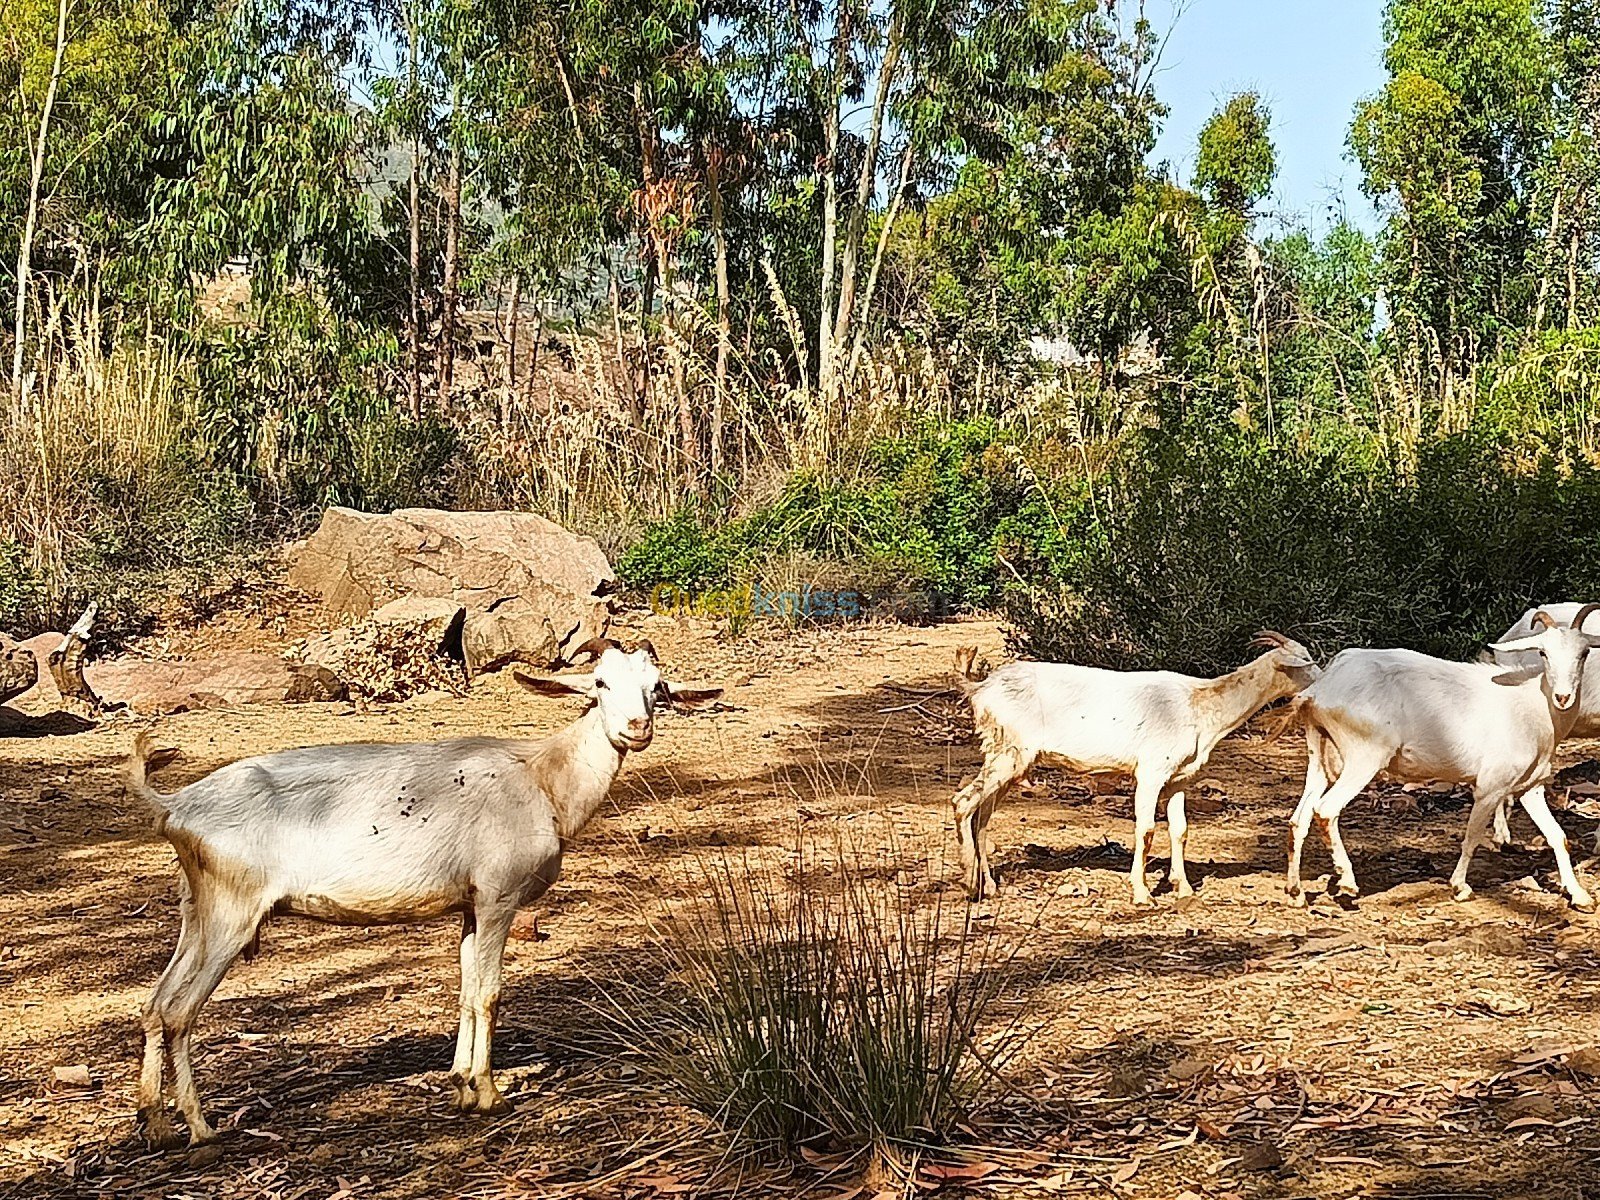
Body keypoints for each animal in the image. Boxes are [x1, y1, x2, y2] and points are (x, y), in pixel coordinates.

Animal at [123, 643, 720, 1152]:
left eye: (658, 687)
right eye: (600, 682)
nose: (637, 728)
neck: (542, 780)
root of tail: (175, 804)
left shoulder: (471, 907)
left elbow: (465, 991)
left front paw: (460, 1084)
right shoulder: (499, 898)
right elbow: (490, 994)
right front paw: (490, 1094)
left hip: (197, 911)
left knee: (154, 1002)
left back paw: (155, 1124)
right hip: (232, 914)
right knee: (178, 1011)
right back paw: (200, 1128)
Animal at [953, 640, 1318, 902]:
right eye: (1307, 662)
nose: (1322, 683)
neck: (1201, 704)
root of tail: (980, 688)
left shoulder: (1179, 778)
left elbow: (1180, 830)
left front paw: (1183, 888)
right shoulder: (1152, 771)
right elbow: (1146, 830)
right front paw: (1143, 893)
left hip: (1008, 759)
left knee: (982, 817)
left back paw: (989, 886)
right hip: (1008, 752)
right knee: (963, 802)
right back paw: (971, 885)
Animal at [1286, 611, 1600, 908]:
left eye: (1584, 653)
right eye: (1543, 653)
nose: (1563, 697)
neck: (1533, 705)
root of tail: (1319, 690)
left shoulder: (1530, 788)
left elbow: (1558, 836)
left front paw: (1579, 896)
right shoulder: (1490, 786)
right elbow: (1472, 837)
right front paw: (1460, 887)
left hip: (1321, 753)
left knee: (1299, 817)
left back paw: (1296, 892)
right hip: (1363, 756)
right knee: (1325, 810)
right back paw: (1348, 882)